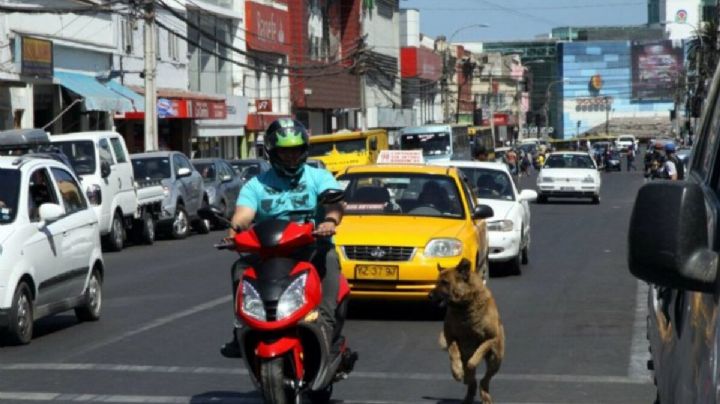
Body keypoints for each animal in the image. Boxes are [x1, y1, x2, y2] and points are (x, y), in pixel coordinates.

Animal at [430, 258, 504, 404]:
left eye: (445, 282)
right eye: (437, 281)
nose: (429, 296)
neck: (464, 306)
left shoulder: (491, 338)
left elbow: (478, 353)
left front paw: (470, 366)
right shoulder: (450, 337)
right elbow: (453, 353)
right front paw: (457, 372)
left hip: (496, 358)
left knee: (484, 379)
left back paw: (484, 394)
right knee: (473, 382)